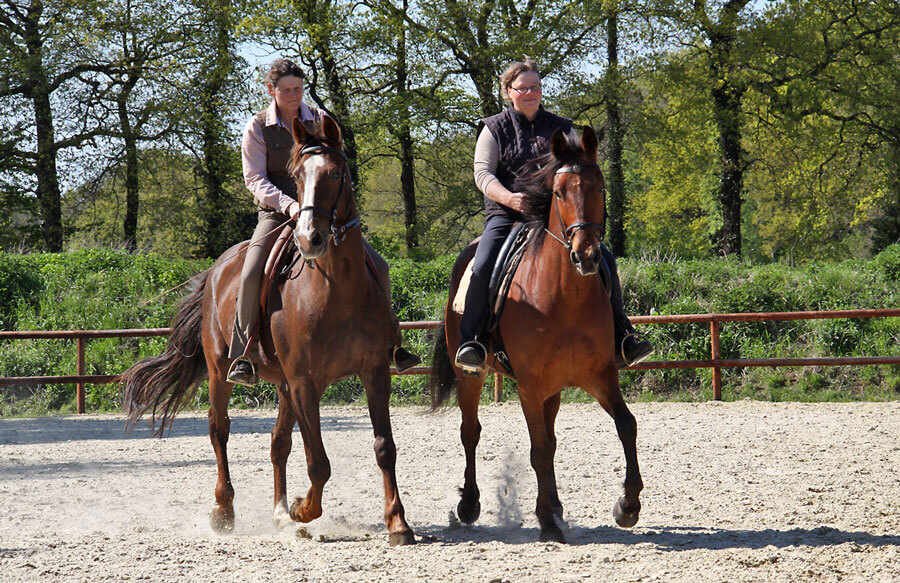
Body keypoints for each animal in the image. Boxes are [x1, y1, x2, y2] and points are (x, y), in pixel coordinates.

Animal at [120, 115, 414, 548]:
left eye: (336, 173)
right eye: (297, 176)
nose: (310, 237)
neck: (337, 290)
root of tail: (217, 269)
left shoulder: (374, 373)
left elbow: (384, 447)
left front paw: (398, 523)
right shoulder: (305, 382)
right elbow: (318, 462)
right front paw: (303, 510)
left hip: (283, 385)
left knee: (278, 444)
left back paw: (278, 513)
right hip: (221, 373)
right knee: (219, 430)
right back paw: (225, 511)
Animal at [428, 126, 640, 544]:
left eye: (600, 187)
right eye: (558, 192)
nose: (586, 255)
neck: (564, 297)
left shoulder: (601, 375)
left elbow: (626, 425)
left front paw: (628, 505)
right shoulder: (529, 384)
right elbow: (538, 449)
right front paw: (547, 521)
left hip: (553, 389)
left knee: (551, 438)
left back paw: (556, 506)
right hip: (470, 375)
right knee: (470, 432)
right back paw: (470, 504)